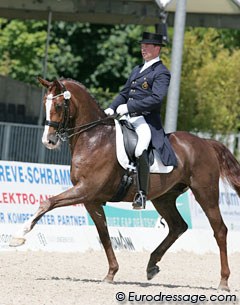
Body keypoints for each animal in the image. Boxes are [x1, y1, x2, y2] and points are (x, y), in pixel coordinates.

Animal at [10, 76, 240, 290]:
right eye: (44, 104)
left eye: (58, 105)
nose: (48, 141)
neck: (93, 138)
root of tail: (206, 143)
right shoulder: (91, 199)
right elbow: (104, 235)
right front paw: (111, 273)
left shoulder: (85, 190)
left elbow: (47, 203)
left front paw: (19, 236)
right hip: (164, 198)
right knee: (178, 226)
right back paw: (152, 265)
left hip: (205, 193)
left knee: (220, 230)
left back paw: (223, 281)